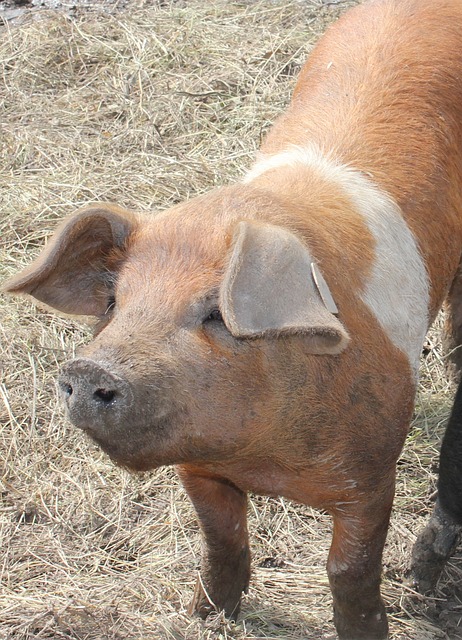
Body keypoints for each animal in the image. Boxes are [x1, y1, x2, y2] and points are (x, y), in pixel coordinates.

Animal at [4, 1, 462, 640]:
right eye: (116, 301)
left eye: (216, 312)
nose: (87, 369)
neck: (266, 460)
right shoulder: (201, 467)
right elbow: (221, 540)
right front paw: (204, 614)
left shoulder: (373, 477)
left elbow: (350, 570)